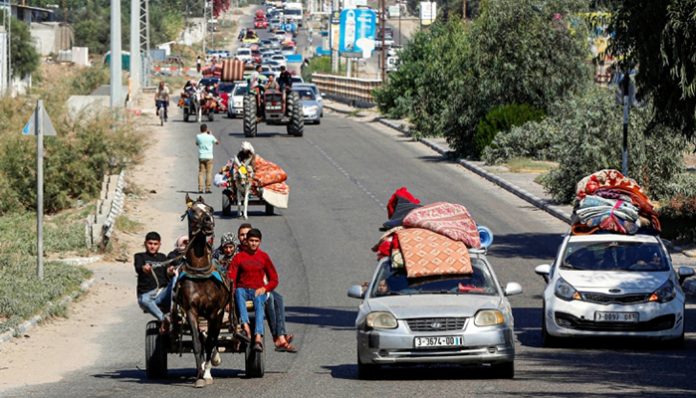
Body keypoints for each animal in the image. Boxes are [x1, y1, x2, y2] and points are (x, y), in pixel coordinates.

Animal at [174, 194, 231, 388]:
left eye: (210, 209)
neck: (200, 273)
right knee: (204, 336)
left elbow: (211, 341)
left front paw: (206, 373)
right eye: (193, 211)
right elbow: (197, 343)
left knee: (213, 337)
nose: (208, 221)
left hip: (219, 315)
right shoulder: (191, 311)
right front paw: (199, 375)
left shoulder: (215, 312)